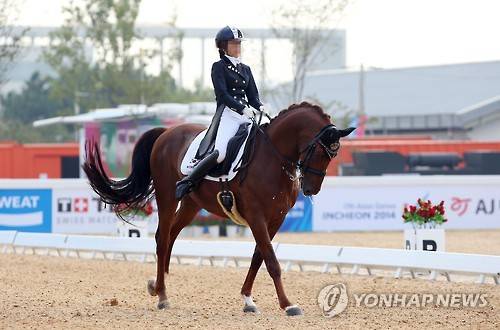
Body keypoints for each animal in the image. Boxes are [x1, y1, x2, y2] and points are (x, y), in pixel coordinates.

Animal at [83, 102, 356, 316]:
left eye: (334, 154)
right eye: (320, 151)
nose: (311, 189)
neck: (274, 158)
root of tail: (166, 132)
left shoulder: (276, 218)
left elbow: (259, 257)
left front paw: (248, 300)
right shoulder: (256, 216)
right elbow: (271, 261)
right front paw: (288, 305)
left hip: (191, 204)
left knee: (170, 236)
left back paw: (157, 286)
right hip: (167, 196)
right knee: (162, 238)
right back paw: (162, 297)